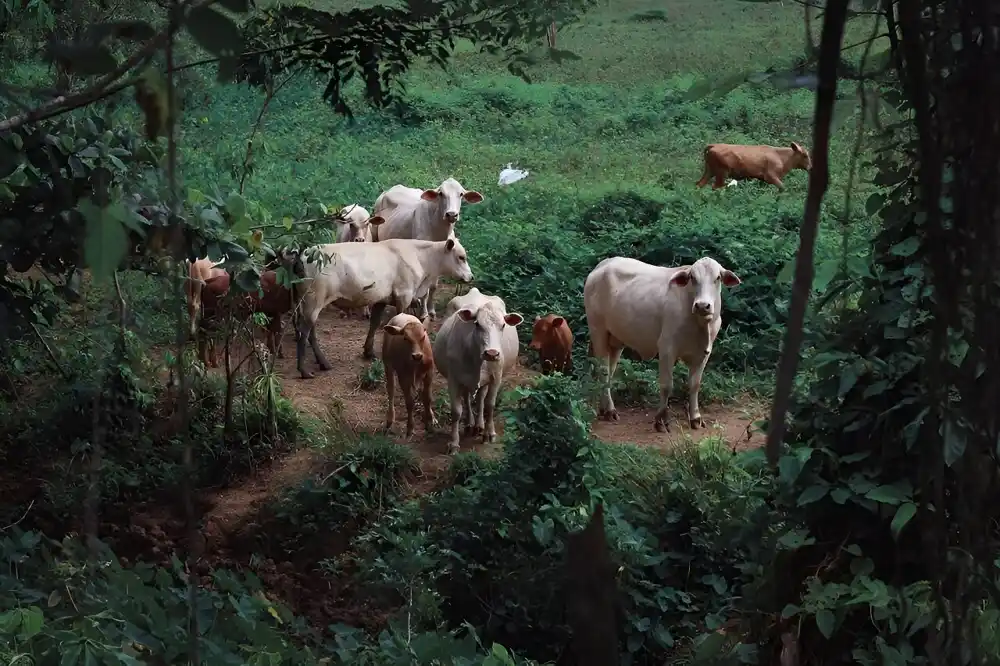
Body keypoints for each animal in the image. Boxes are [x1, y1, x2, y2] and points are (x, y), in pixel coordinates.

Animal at [284, 236, 474, 376]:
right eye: (461, 257)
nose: (471, 277)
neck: (420, 258)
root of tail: (302, 254)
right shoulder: (404, 296)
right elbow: (400, 321)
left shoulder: (382, 298)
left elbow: (375, 323)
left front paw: (368, 352)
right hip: (313, 299)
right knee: (304, 332)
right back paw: (304, 370)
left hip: (307, 302)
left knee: (308, 330)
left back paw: (322, 363)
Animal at [374, 176, 486, 320]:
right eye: (441, 193)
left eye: (461, 194)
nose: (451, 214)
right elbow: (425, 291)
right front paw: (424, 313)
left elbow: (433, 287)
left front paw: (431, 311)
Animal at [434, 288, 524, 454]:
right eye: (477, 324)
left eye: (503, 325)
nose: (492, 353)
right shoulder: (454, 379)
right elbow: (456, 411)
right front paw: (454, 443)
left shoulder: (496, 377)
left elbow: (490, 404)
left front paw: (489, 433)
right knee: (467, 399)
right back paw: (470, 424)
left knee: (481, 398)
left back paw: (480, 425)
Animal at [584, 253, 740, 430]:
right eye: (692, 277)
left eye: (718, 277)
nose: (702, 305)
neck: (699, 324)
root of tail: (602, 266)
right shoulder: (667, 348)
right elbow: (667, 385)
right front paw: (661, 419)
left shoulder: (703, 353)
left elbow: (694, 385)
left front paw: (695, 418)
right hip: (598, 331)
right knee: (603, 370)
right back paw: (610, 410)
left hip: (616, 340)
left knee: (610, 371)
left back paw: (604, 408)